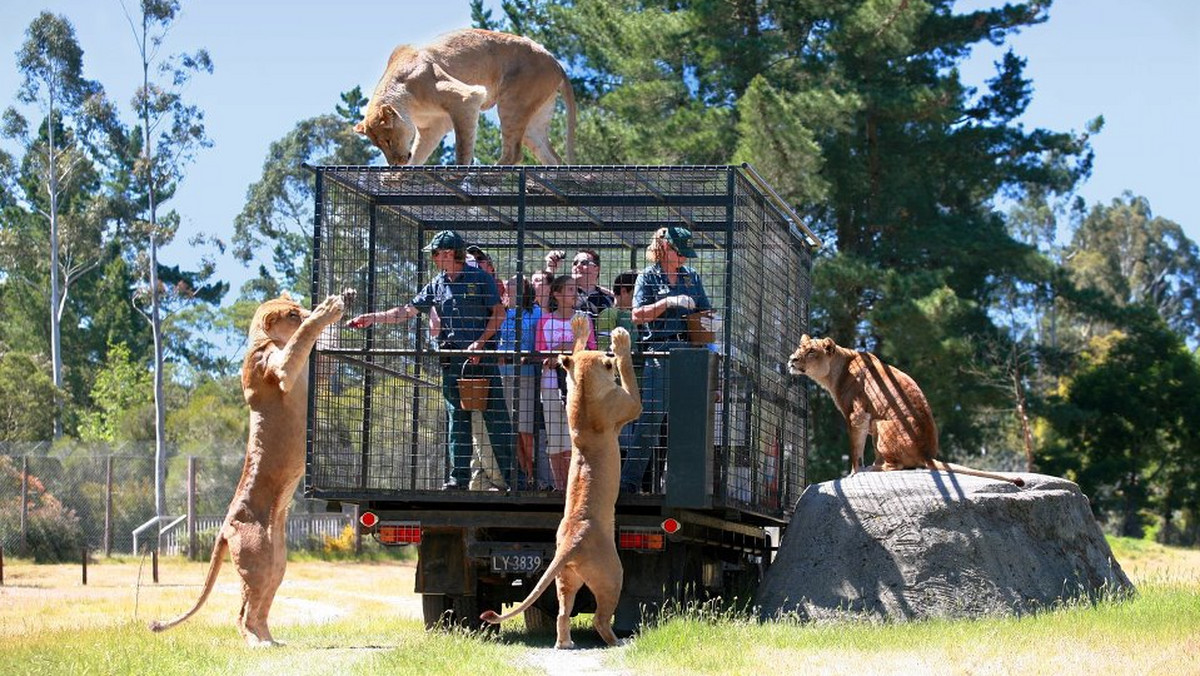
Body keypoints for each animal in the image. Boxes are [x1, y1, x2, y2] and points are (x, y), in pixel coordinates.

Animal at [151, 294, 343, 648]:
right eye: (293, 313)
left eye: (298, 305)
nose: (306, 310)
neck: (266, 340)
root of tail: (225, 525)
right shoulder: (278, 369)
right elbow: (301, 341)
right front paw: (326, 312)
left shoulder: (312, 375)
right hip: (257, 559)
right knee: (241, 613)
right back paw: (257, 644)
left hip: (276, 562)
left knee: (258, 609)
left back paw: (272, 640)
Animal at [480, 314, 643, 648]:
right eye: (607, 359)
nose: (608, 348)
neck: (585, 391)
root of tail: (570, 543)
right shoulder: (627, 406)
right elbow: (630, 378)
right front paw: (621, 342)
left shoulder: (569, 398)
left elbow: (570, 359)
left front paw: (579, 327)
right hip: (612, 574)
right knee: (599, 618)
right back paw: (618, 641)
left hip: (566, 579)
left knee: (561, 613)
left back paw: (564, 643)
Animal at [787, 336, 1022, 487]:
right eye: (799, 347)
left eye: (811, 351)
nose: (792, 359)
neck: (836, 370)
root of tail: (926, 454)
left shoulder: (857, 415)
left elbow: (855, 451)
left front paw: (853, 474)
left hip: (879, 423)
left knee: (896, 465)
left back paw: (873, 469)